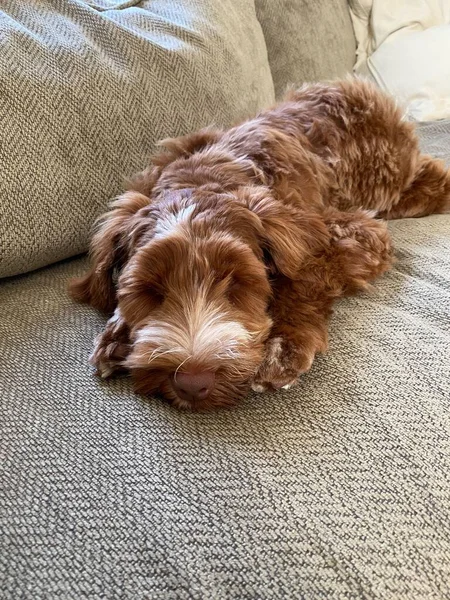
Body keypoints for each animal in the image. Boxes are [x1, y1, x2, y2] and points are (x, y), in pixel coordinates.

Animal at [69, 77, 450, 410]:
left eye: (237, 283)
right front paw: (117, 335)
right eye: (150, 290)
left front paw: (284, 344)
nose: (192, 382)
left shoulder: (355, 233)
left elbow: (304, 276)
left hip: (384, 179)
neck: (207, 176)